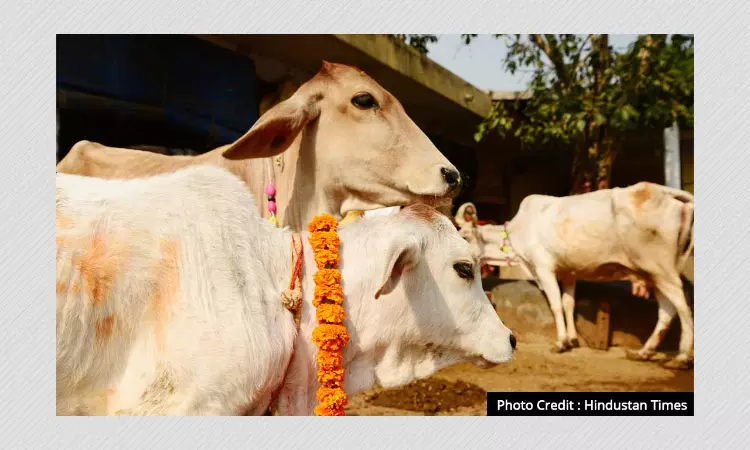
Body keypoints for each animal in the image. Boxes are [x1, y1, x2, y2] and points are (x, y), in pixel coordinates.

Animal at [460, 182, 694, 370]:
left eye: (464, 235)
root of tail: (665, 192)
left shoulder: (544, 268)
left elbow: (555, 304)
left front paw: (561, 342)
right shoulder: (568, 274)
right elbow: (568, 304)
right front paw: (572, 339)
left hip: (661, 269)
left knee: (682, 306)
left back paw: (682, 357)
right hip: (654, 274)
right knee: (667, 310)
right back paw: (644, 352)